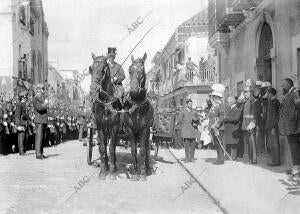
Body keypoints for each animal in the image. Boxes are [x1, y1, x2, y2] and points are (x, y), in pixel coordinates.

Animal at [89, 52, 122, 180]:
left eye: (103, 69)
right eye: (91, 69)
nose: (93, 89)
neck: (107, 102)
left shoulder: (114, 127)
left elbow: (112, 148)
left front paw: (112, 172)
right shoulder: (100, 126)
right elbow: (103, 148)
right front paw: (103, 171)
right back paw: (106, 164)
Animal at [123, 53, 155, 181]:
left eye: (142, 70)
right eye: (129, 70)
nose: (133, 89)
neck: (137, 105)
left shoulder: (145, 129)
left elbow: (142, 151)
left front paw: (141, 174)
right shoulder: (130, 130)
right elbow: (133, 150)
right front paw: (135, 172)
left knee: (146, 149)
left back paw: (147, 168)